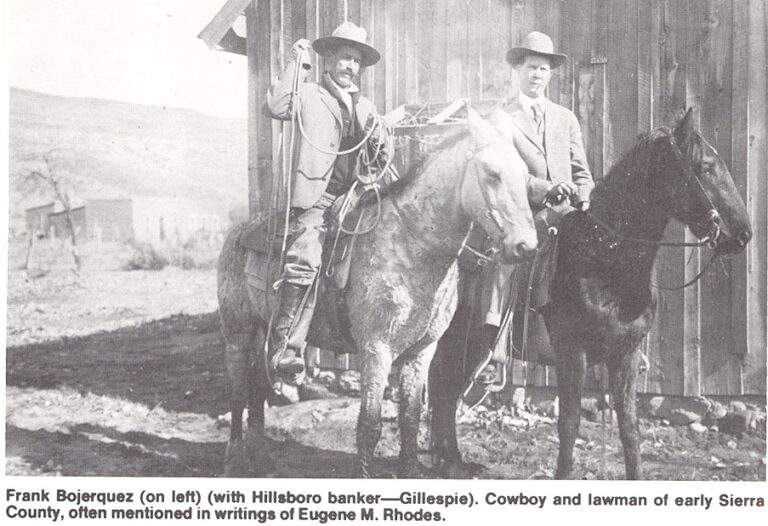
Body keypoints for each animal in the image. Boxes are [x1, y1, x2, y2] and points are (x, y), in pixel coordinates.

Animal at [219, 109, 536, 480]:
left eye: (525, 175)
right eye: (492, 174)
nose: (526, 246)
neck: (412, 245)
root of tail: (240, 231)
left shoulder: (421, 352)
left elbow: (410, 418)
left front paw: (410, 472)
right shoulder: (376, 349)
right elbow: (369, 425)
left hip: (262, 331)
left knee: (257, 385)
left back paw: (260, 457)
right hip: (237, 334)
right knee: (239, 391)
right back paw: (233, 458)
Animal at [428, 109, 752, 480]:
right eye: (707, 166)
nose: (743, 233)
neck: (603, 259)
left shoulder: (626, 355)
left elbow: (629, 427)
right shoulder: (573, 352)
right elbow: (569, 423)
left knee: (446, 389)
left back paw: (452, 461)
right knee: (443, 388)